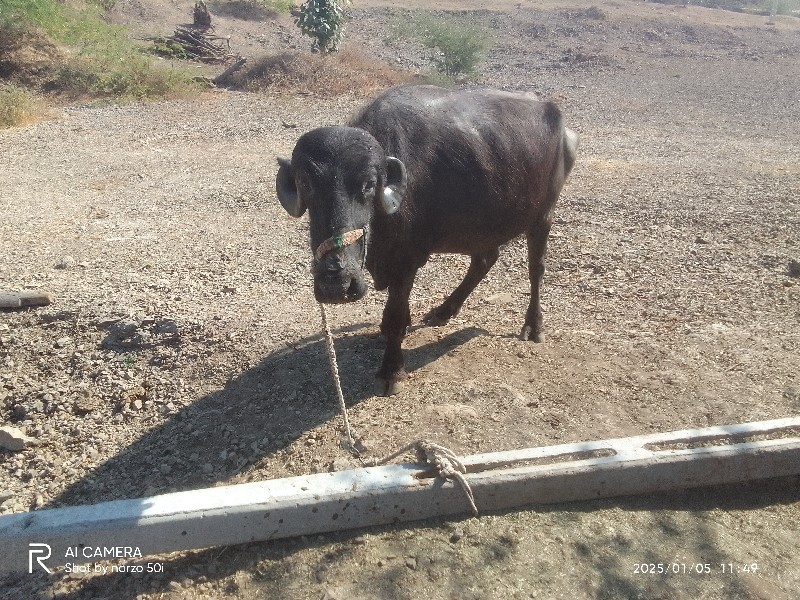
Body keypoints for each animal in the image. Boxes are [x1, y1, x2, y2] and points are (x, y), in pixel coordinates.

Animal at [276, 83, 576, 394]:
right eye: (306, 183)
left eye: (369, 184)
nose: (337, 284)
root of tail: (555, 117)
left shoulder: (405, 263)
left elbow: (395, 316)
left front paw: (392, 371)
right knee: (484, 259)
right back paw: (443, 311)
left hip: (543, 216)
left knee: (535, 269)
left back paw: (533, 325)